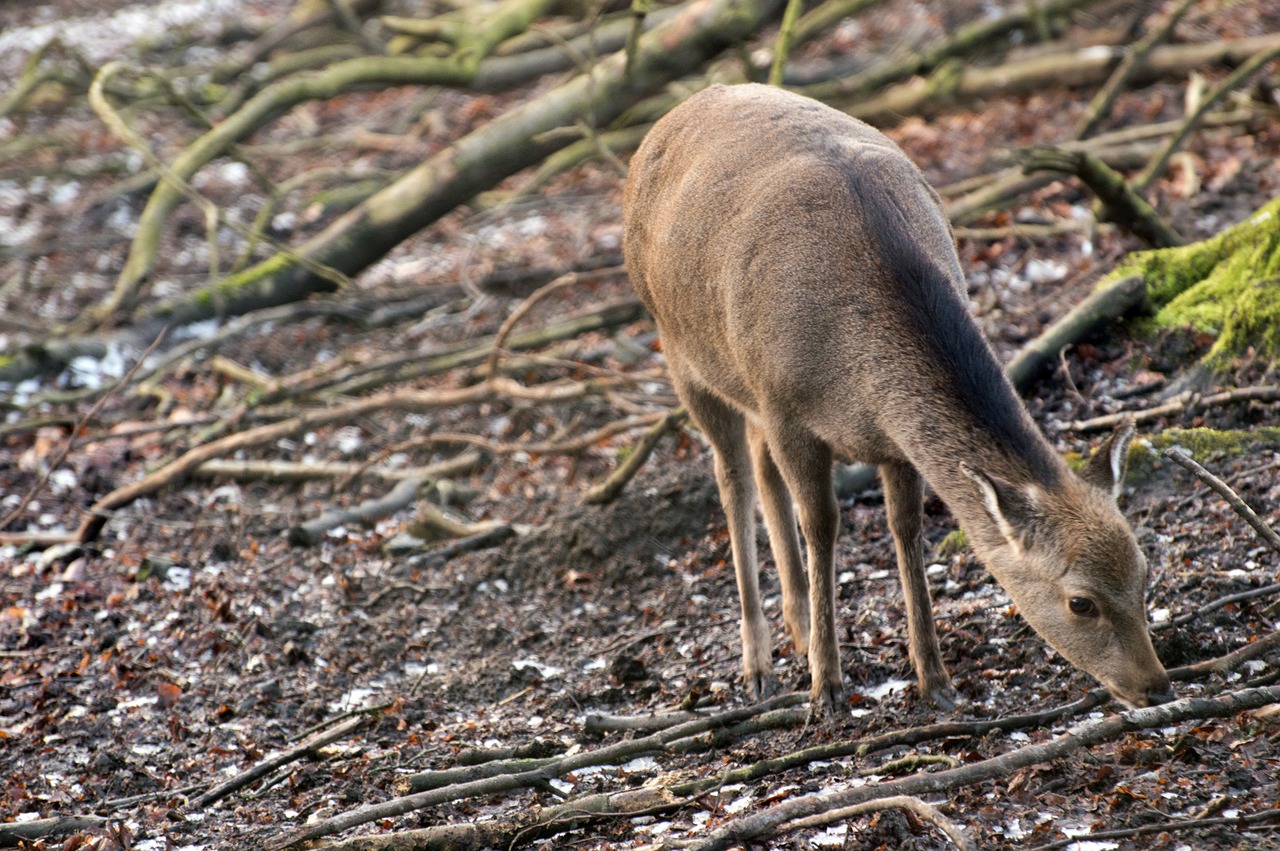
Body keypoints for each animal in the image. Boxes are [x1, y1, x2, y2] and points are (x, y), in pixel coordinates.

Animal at [624, 84, 1172, 711]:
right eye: (1080, 602)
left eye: (1144, 570)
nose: (1156, 684)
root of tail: (674, 114)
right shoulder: (787, 408)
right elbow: (822, 525)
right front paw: (828, 687)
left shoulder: (888, 437)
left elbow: (906, 525)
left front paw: (934, 676)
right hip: (680, 350)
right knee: (731, 477)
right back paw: (759, 665)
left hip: (746, 382)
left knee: (760, 466)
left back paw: (799, 628)